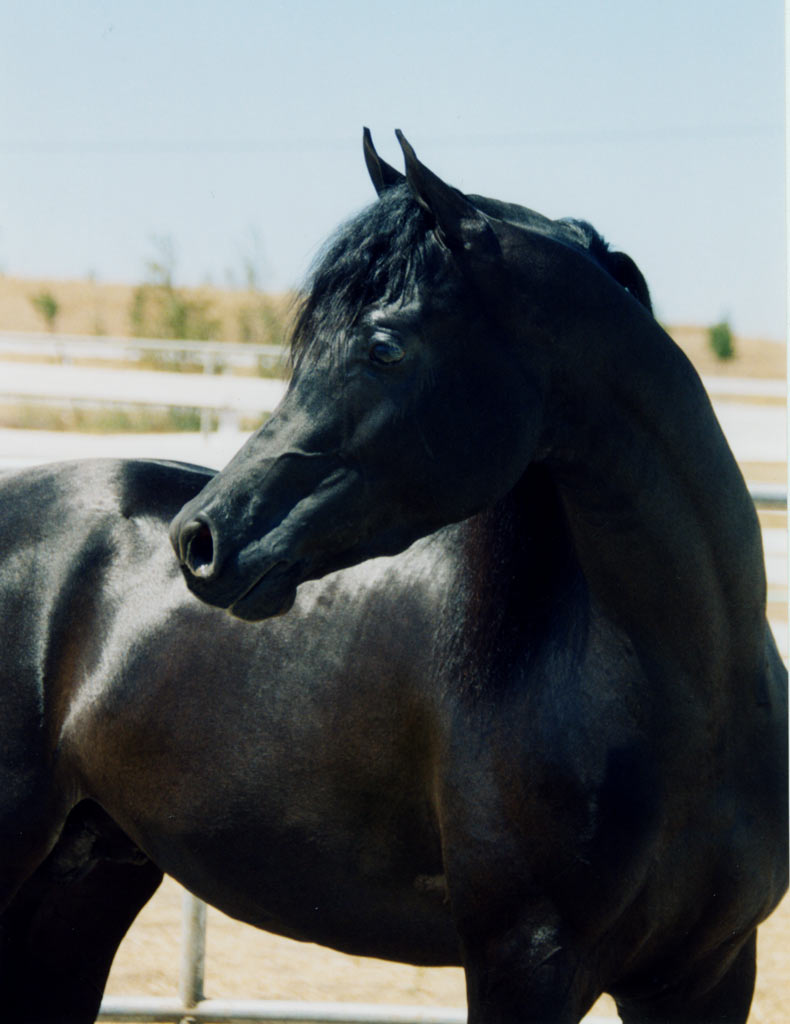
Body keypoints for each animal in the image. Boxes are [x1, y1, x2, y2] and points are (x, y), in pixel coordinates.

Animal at [0, 136, 782, 1024]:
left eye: (383, 347)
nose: (199, 541)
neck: (692, 706)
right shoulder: (525, 965)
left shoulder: (709, 974)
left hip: (82, 887)